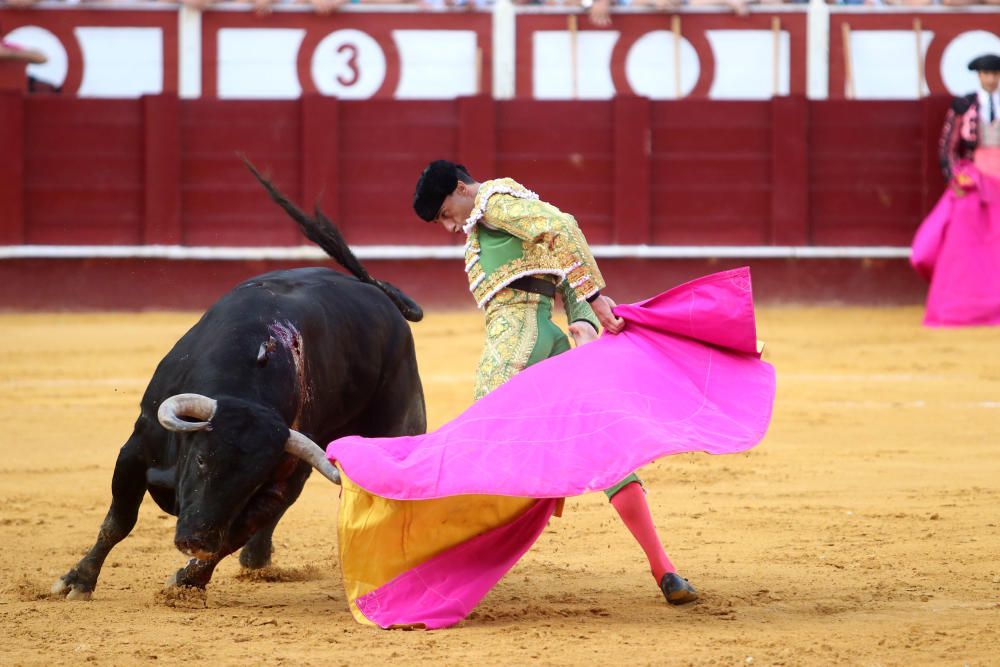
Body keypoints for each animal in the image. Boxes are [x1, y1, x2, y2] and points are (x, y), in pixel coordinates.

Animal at [51, 163, 426, 600]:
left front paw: (187, 582)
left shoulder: (272, 482)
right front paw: (77, 581)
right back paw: (256, 560)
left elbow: (232, 535)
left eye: (249, 481)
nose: (195, 540)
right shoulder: (137, 446)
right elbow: (118, 521)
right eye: (202, 459)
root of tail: (376, 291)